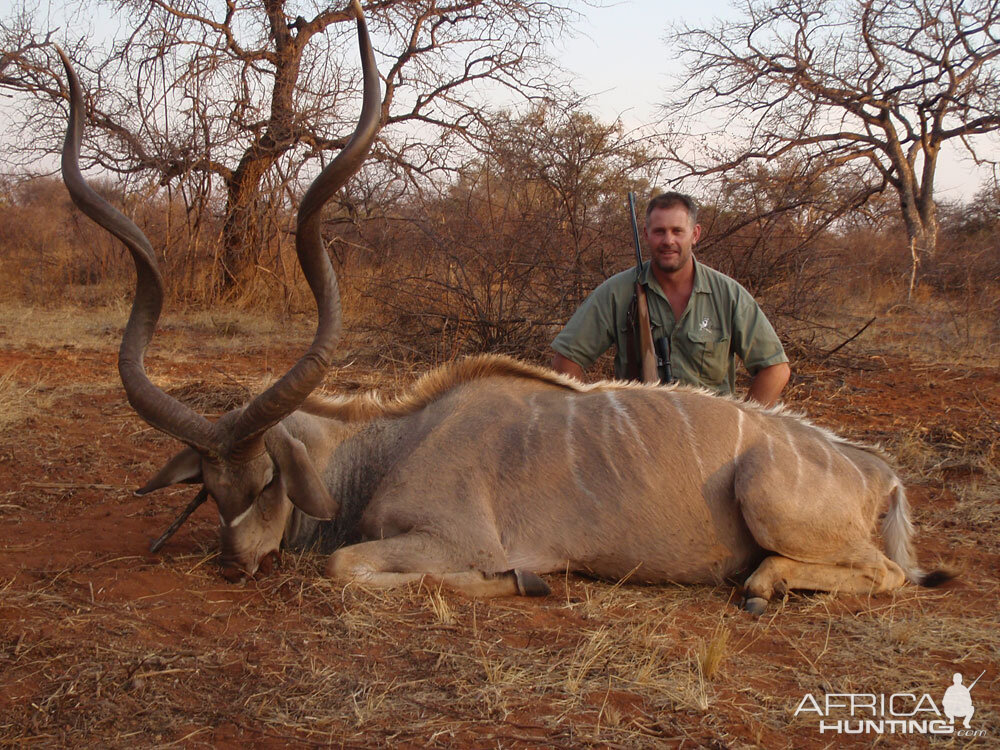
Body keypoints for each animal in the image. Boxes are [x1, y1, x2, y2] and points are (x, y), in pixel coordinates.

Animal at [60, 8, 944, 612]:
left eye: (269, 480)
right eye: (210, 487)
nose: (234, 562)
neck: (392, 442)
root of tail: (874, 469)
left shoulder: (453, 538)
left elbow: (350, 565)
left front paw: (525, 582)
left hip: (768, 498)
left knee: (889, 575)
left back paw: (761, 584)